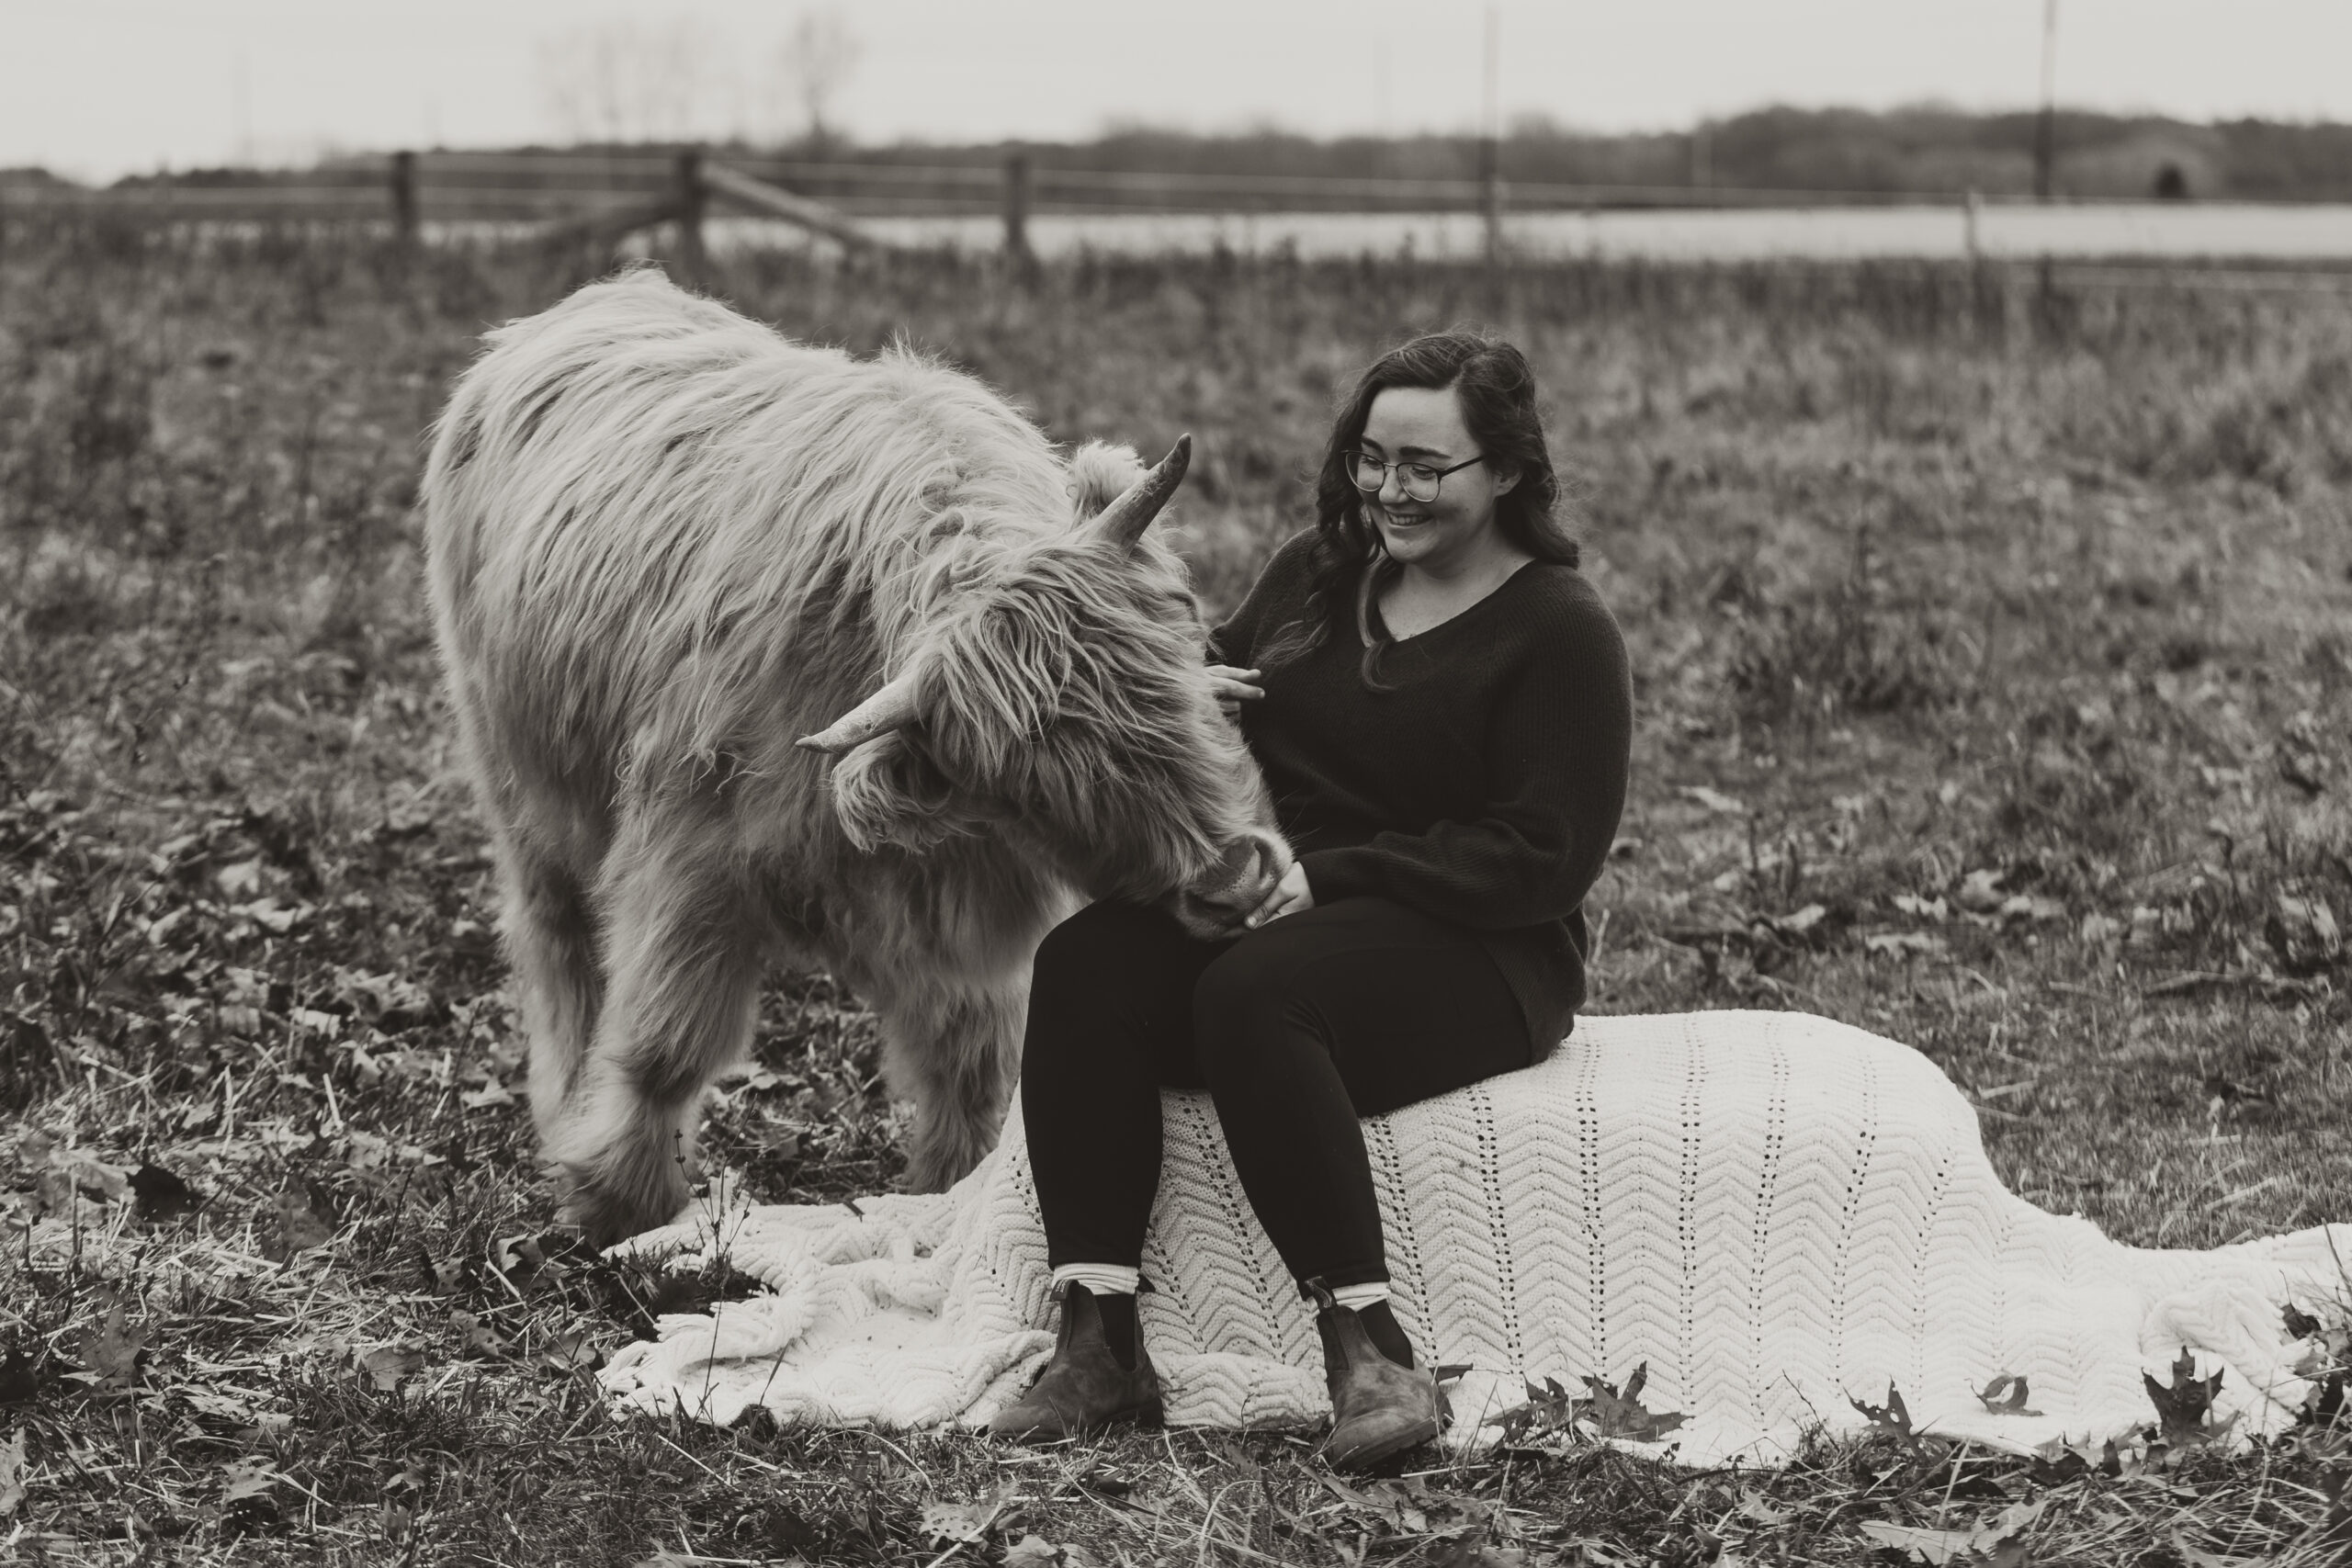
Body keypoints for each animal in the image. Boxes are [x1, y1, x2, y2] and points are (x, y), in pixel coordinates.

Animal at [423, 272, 1288, 1250]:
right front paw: (618, 1200)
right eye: (1039, 789)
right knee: (557, 943)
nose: (1234, 880)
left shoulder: (965, 906)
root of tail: (607, 292)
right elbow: (666, 1042)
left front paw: (955, 1190)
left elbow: (974, 1059)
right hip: (522, 786)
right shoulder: (691, 867)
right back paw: (564, 1101)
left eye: (1174, 680)